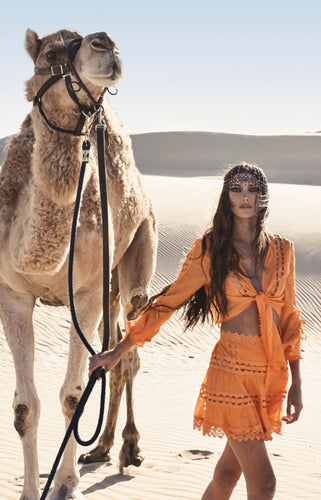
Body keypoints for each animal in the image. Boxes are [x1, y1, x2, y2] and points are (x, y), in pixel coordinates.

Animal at [0, 28, 158, 500]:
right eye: (50, 54)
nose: (105, 43)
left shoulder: (84, 293)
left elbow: (73, 396)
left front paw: (65, 485)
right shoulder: (12, 294)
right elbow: (24, 407)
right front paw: (30, 490)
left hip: (135, 254)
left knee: (128, 350)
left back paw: (127, 449)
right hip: (108, 285)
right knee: (114, 350)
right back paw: (100, 448)